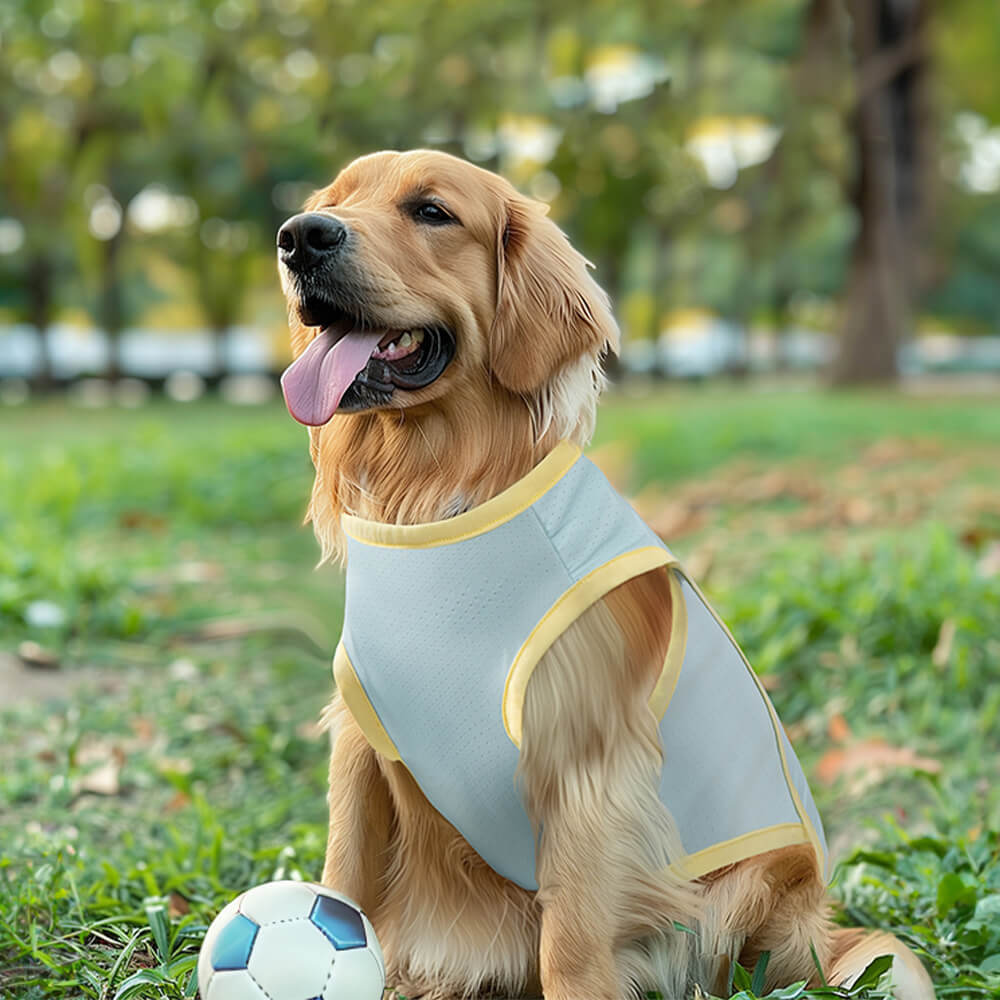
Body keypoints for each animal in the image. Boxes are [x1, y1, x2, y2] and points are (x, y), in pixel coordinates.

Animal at [272, 148, 928, 1000]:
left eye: (431, 212)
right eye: (335, 200)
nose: (299, 236)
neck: (439, 506)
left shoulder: (585, 768)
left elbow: (572, 944)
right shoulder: (361, 743)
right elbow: (342, 882)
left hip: (746, 885)